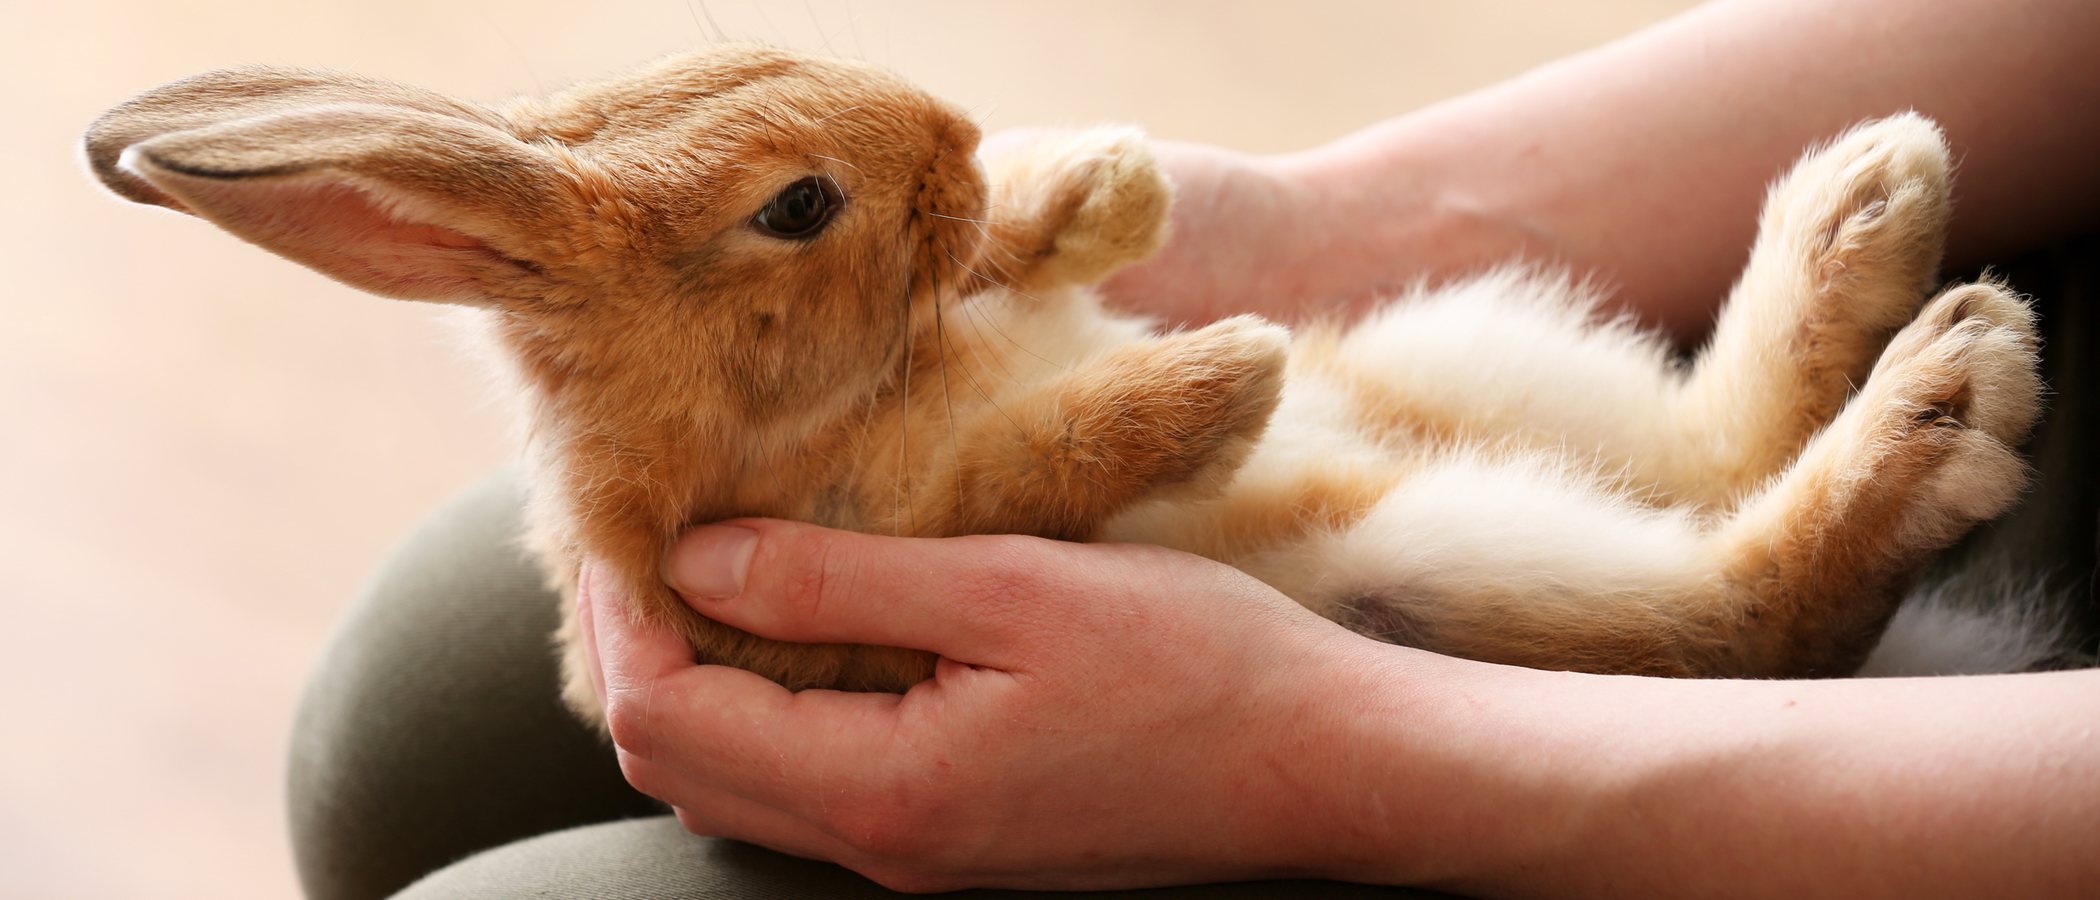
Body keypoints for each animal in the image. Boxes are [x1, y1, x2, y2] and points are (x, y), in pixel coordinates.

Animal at [90, 43, 2041, 721]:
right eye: (797, 207)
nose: (956, 134)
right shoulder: (865, 536)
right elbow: (1030, 464)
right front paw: (1217, 374)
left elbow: (1036, 275)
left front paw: (1099, 187)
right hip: (1461, 545)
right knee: (1753, 597)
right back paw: (1946, 380)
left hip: (1481, 366)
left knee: (1719, 448)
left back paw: (1881, 217)